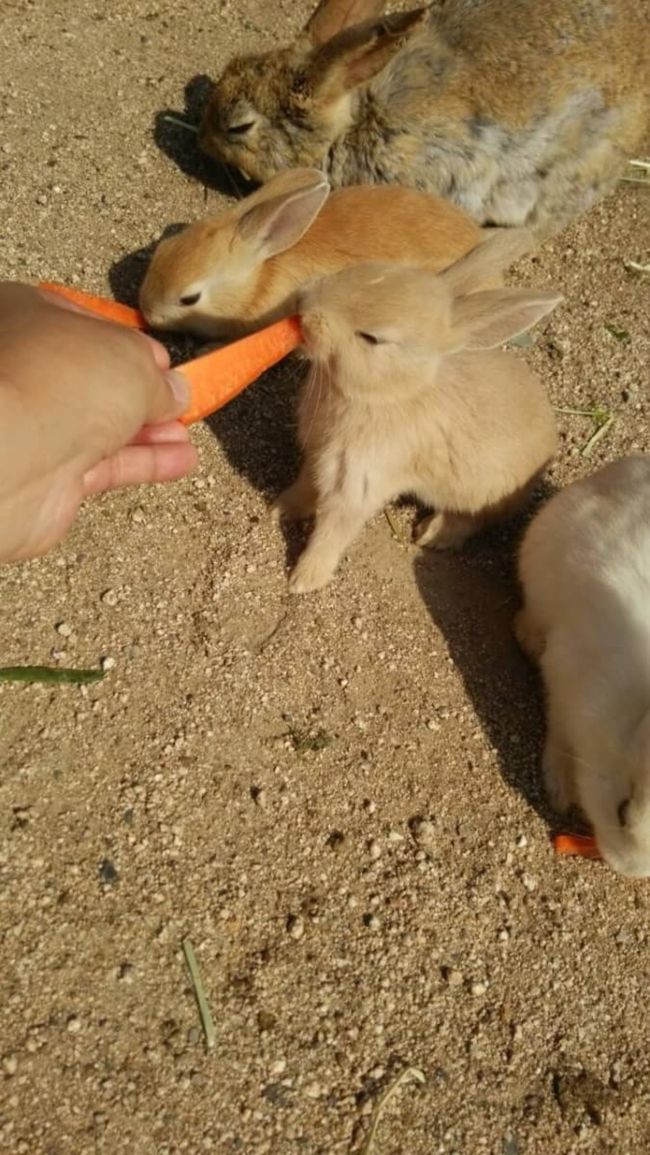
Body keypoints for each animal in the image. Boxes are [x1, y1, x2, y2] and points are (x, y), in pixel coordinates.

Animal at [277, 231, 561, 600]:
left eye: (372, 338)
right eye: (365, 271)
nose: (303, 306)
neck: (389, 394)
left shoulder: (358, 484)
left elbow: (332, 533)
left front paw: (303, 579)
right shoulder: (318, 457)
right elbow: (303, 489)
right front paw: (279, 509)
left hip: (478, 493)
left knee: (474, 518)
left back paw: (431, 533)